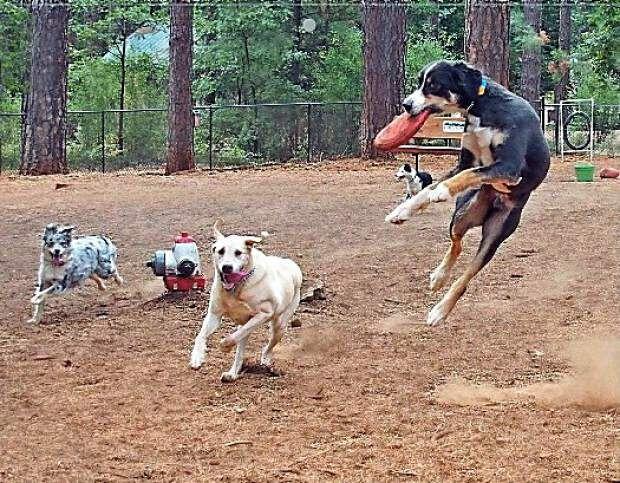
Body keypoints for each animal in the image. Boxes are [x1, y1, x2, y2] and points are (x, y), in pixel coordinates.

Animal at [190, 221, 304, 384]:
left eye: (238, 253)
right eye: (220, 251)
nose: (227, 267)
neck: (238, 288)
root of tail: (291, 264)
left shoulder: (263, 314)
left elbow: (232, 337)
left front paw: (224, 346)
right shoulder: (214, 315)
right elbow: (200, 336)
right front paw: (197, 357)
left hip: (279, 326)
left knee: (267, 344)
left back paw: (265, 359)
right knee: (240, 348)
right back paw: (232, 373)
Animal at [386, 59, 548, 326]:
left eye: (433, 85)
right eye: (420, 82)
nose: (406, 105)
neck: (482, 107)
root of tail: (491, 204)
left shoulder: (508, 168)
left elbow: (465, 177)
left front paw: (442, 191)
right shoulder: (466, 161)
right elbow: (426, 190)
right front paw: (401, 211)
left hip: (495, 235)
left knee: (465, 278)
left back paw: (439, 311)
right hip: (462, 213)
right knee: (457, 244)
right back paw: (438, 277)